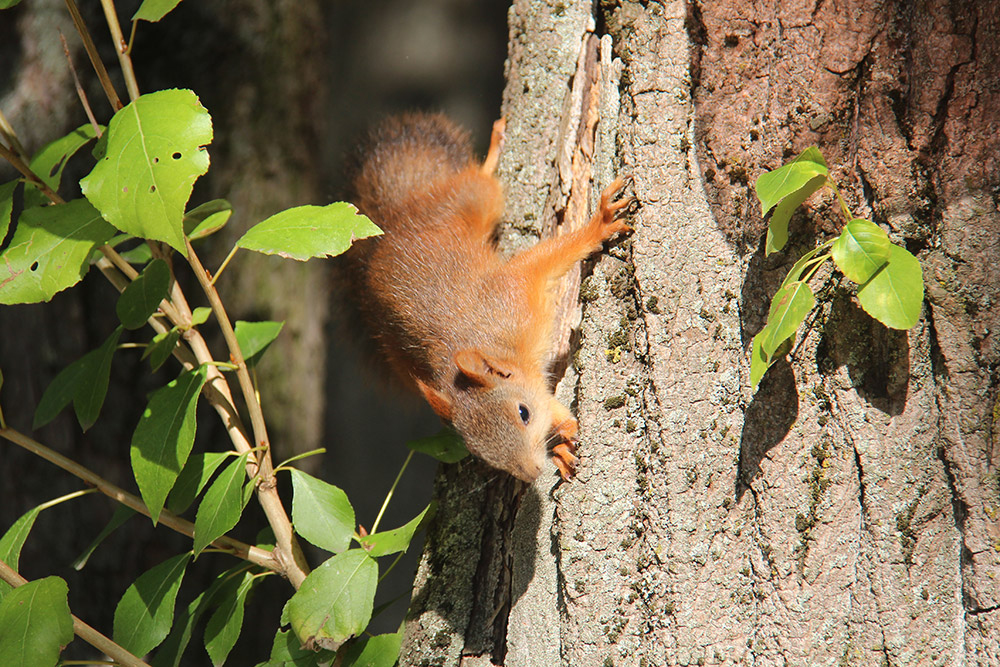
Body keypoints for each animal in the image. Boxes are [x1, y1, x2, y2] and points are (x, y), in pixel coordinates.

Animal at [350, 112, 632, 482]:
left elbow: (551, 255)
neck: (502, 345)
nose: (531, 473)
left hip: (469, 200)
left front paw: (599, 225)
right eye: (476, 449)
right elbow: (551, 404)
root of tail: (392, 221)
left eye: (523, 413)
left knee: (481, 181)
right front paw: (563, 444)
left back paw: (494, 148)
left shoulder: (514, 290)